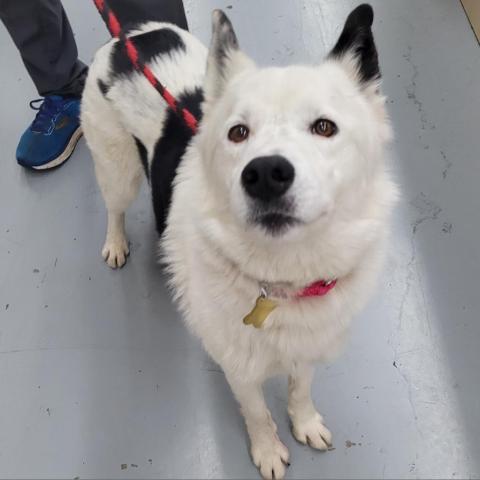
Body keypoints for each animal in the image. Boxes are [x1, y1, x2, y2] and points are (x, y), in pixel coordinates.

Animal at [81, 4, 398, 480]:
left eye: (325, 127)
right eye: (238, 133)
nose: (265, 173)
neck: (283, 281)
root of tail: (130, 33)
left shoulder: (308, 347)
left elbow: (300, 389)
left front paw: (305, 423)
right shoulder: (239, 366)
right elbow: (256, 413)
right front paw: (267, 451)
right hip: (117, 169)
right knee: (114, 206)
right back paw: (116, 243)